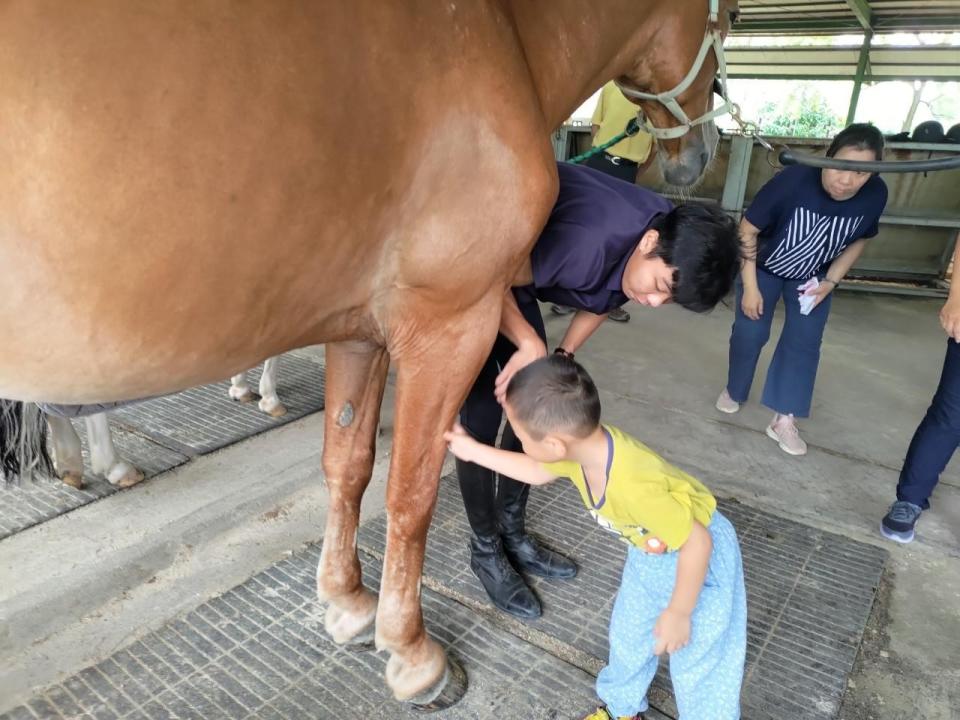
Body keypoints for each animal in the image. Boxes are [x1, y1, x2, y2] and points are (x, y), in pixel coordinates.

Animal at [0, 0, 736, 708]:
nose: (700, 155)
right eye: (727, 20)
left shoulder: (360, 334)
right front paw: (412, 655)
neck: (505, 33)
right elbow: (411, 497)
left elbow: (347, 466)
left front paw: (348, 604)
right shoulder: (451, 325)